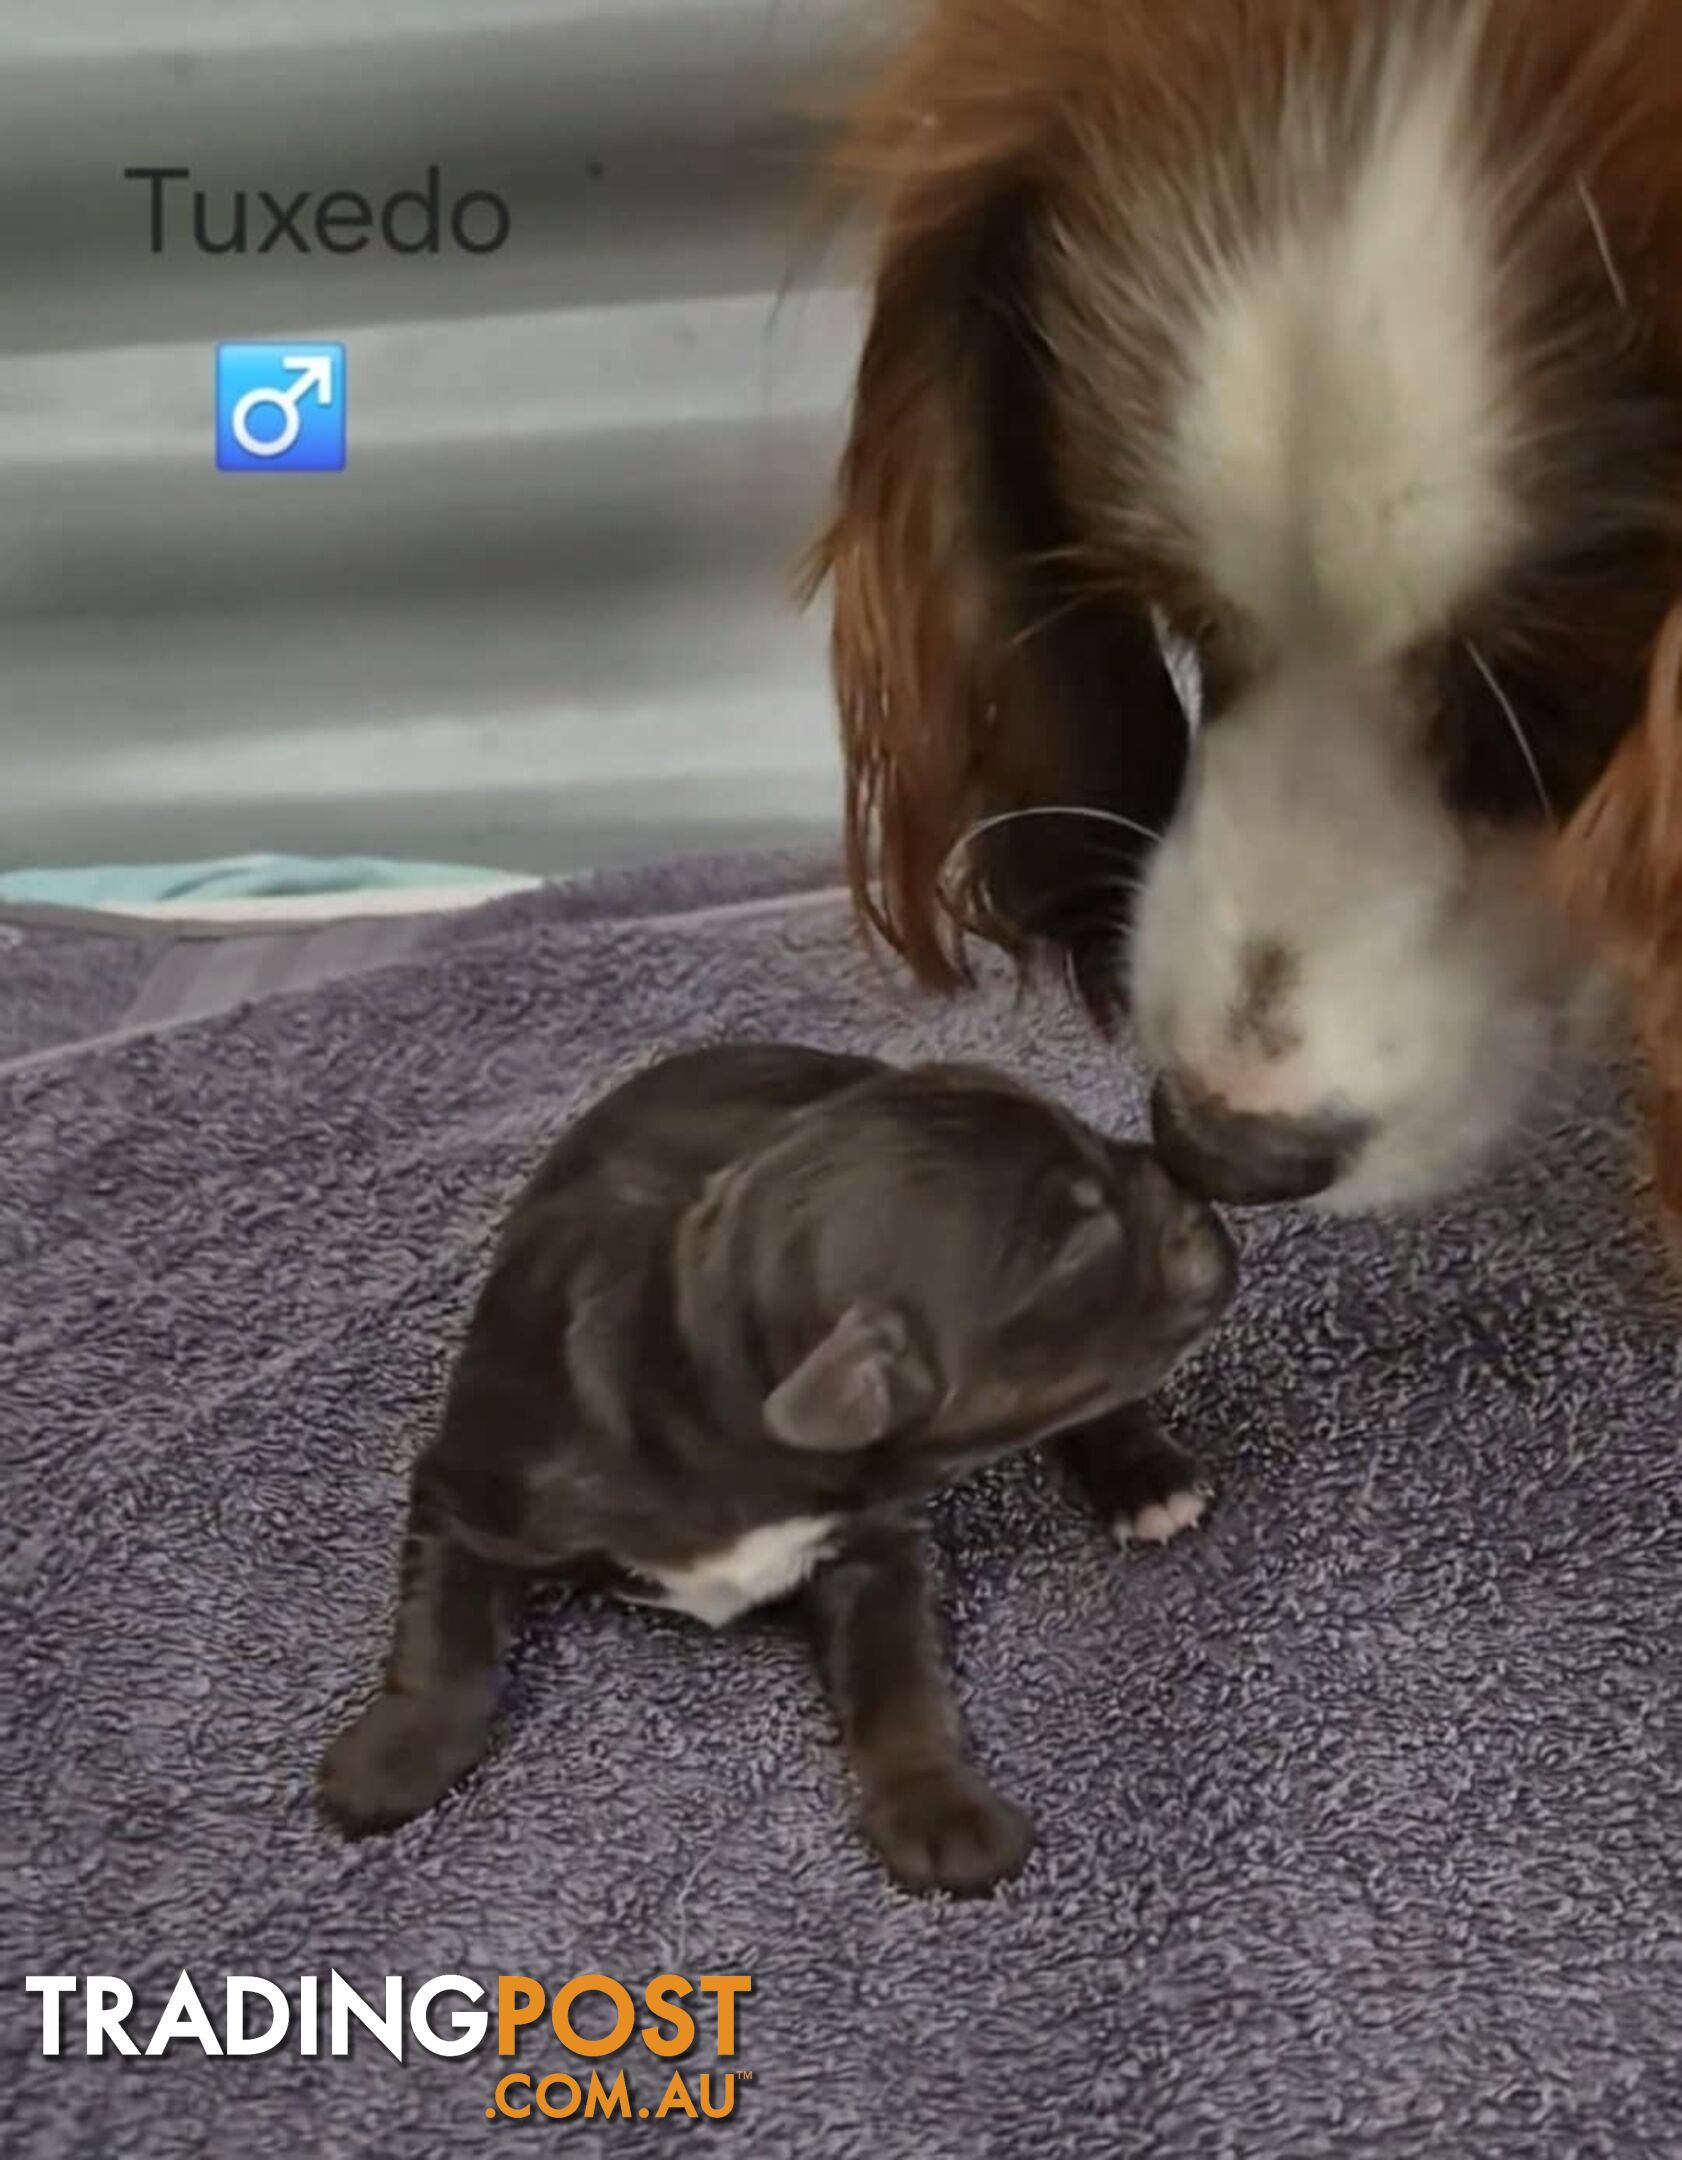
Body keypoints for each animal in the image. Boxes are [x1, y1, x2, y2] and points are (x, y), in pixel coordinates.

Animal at [321, 1045, 1235, 1892]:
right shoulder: (471, 1482)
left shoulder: (875, 1548)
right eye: (1082, 1241)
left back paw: (1146, 1479)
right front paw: (396, 1753)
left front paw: (937, 1805)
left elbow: (899, 1682)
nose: (1201, 1200)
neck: (697, 1352)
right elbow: (444, 1634)